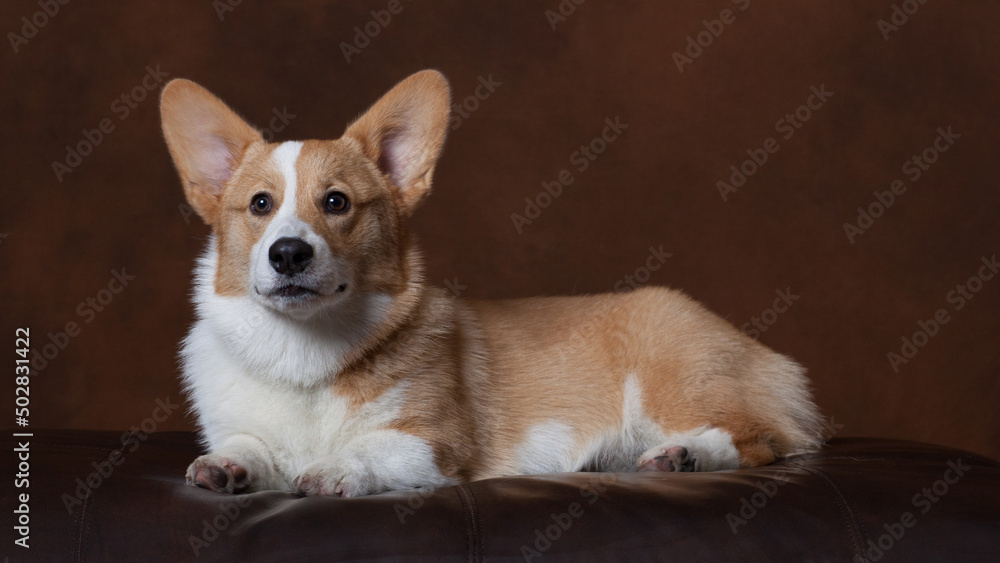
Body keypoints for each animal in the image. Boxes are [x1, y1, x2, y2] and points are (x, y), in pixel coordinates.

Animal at [160, 69, 824, 498]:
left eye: (336, 202)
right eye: (260, 204)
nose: (289, 253)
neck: (305, 353)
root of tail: (761, 351)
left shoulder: (431, 446)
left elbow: (370, 450)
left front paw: (335, 469)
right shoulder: (249, 427)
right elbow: (250, 446)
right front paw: (225, 466)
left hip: (674, 383)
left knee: (762, 438)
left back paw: (684, 455)